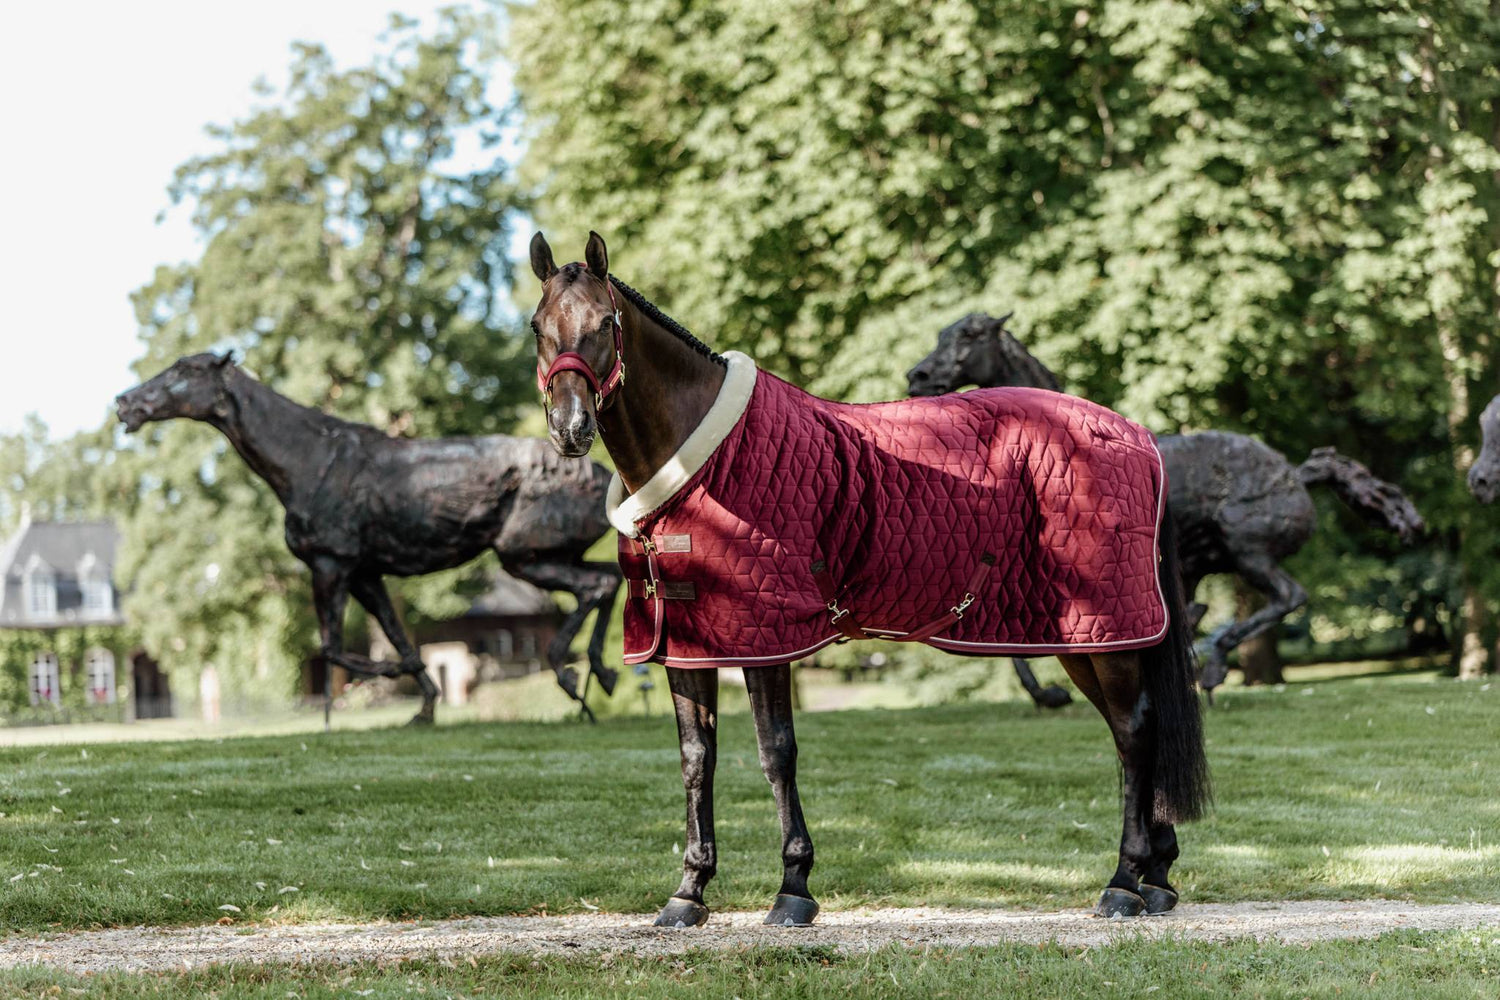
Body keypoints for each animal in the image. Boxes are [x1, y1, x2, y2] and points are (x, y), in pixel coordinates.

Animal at [114, 355, 621, 722]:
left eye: (185, 371)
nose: (125, 403)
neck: (307, 461)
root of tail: (600, 475)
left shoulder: (331, 565)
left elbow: (333, 648)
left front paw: (393, 677)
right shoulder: (364, 573)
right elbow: (396, 634)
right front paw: (423, 706)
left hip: (523, 554)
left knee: (596, 587)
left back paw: (574, 677)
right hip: (548, 554)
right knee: (610, 579)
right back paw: (599, 675)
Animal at [528, 232, 1206, 923]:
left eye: (605, 323)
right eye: (537, 326)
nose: (571, 428)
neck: (704, 463)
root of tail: (1135, 434)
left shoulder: (765, 638)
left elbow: (776, 752)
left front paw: (793, 888)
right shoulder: (686, 644)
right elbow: (697, 759)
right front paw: (689, 891)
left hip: (1107, 630)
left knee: (1134, 732)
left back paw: (1122, 883)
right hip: (1085, 636)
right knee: (1132, 732)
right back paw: (1154, 877)